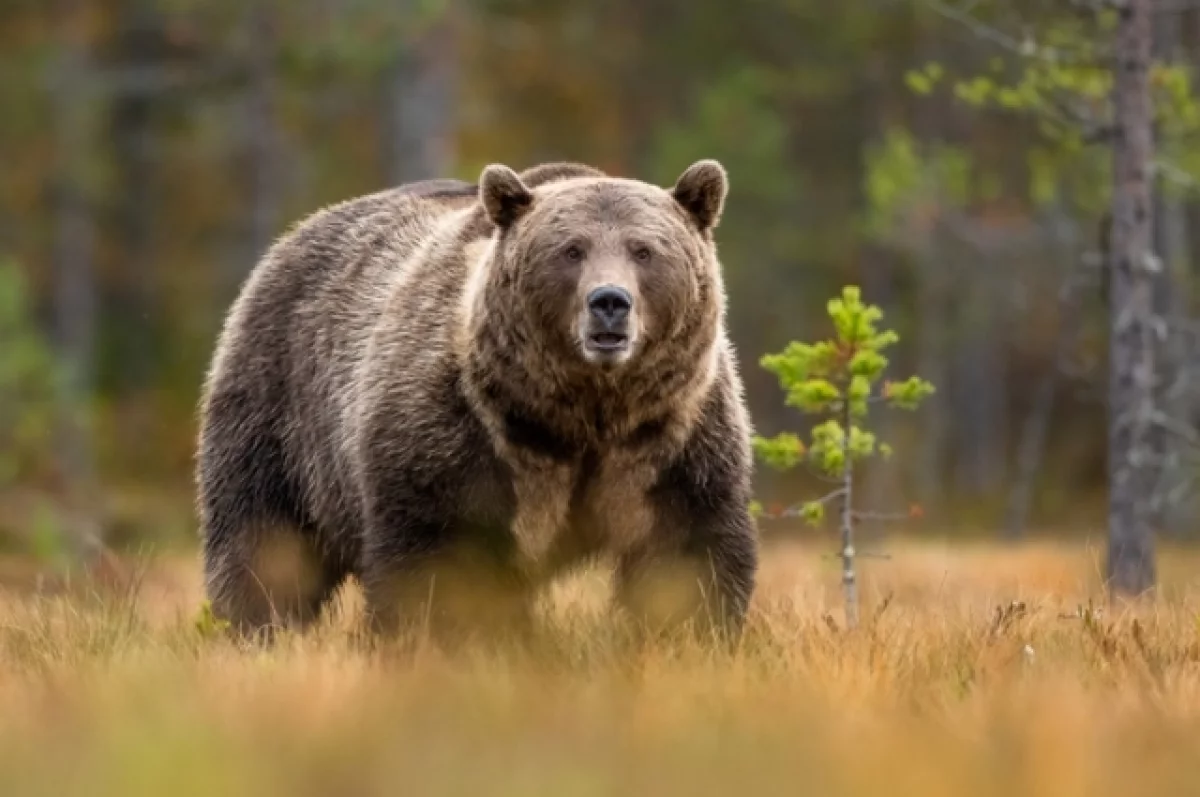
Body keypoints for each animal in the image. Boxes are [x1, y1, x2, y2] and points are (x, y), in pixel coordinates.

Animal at [196, 158, 758, 643]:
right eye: (571, 250)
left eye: (644, 251)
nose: (609, 303)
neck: (580, 413)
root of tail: (292, 236)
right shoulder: (460, 433)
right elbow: (439, 561)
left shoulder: (670, 439)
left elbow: (686, 553)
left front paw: (689, 636)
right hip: (281, 408)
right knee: (264, 541)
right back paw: (256, 629)